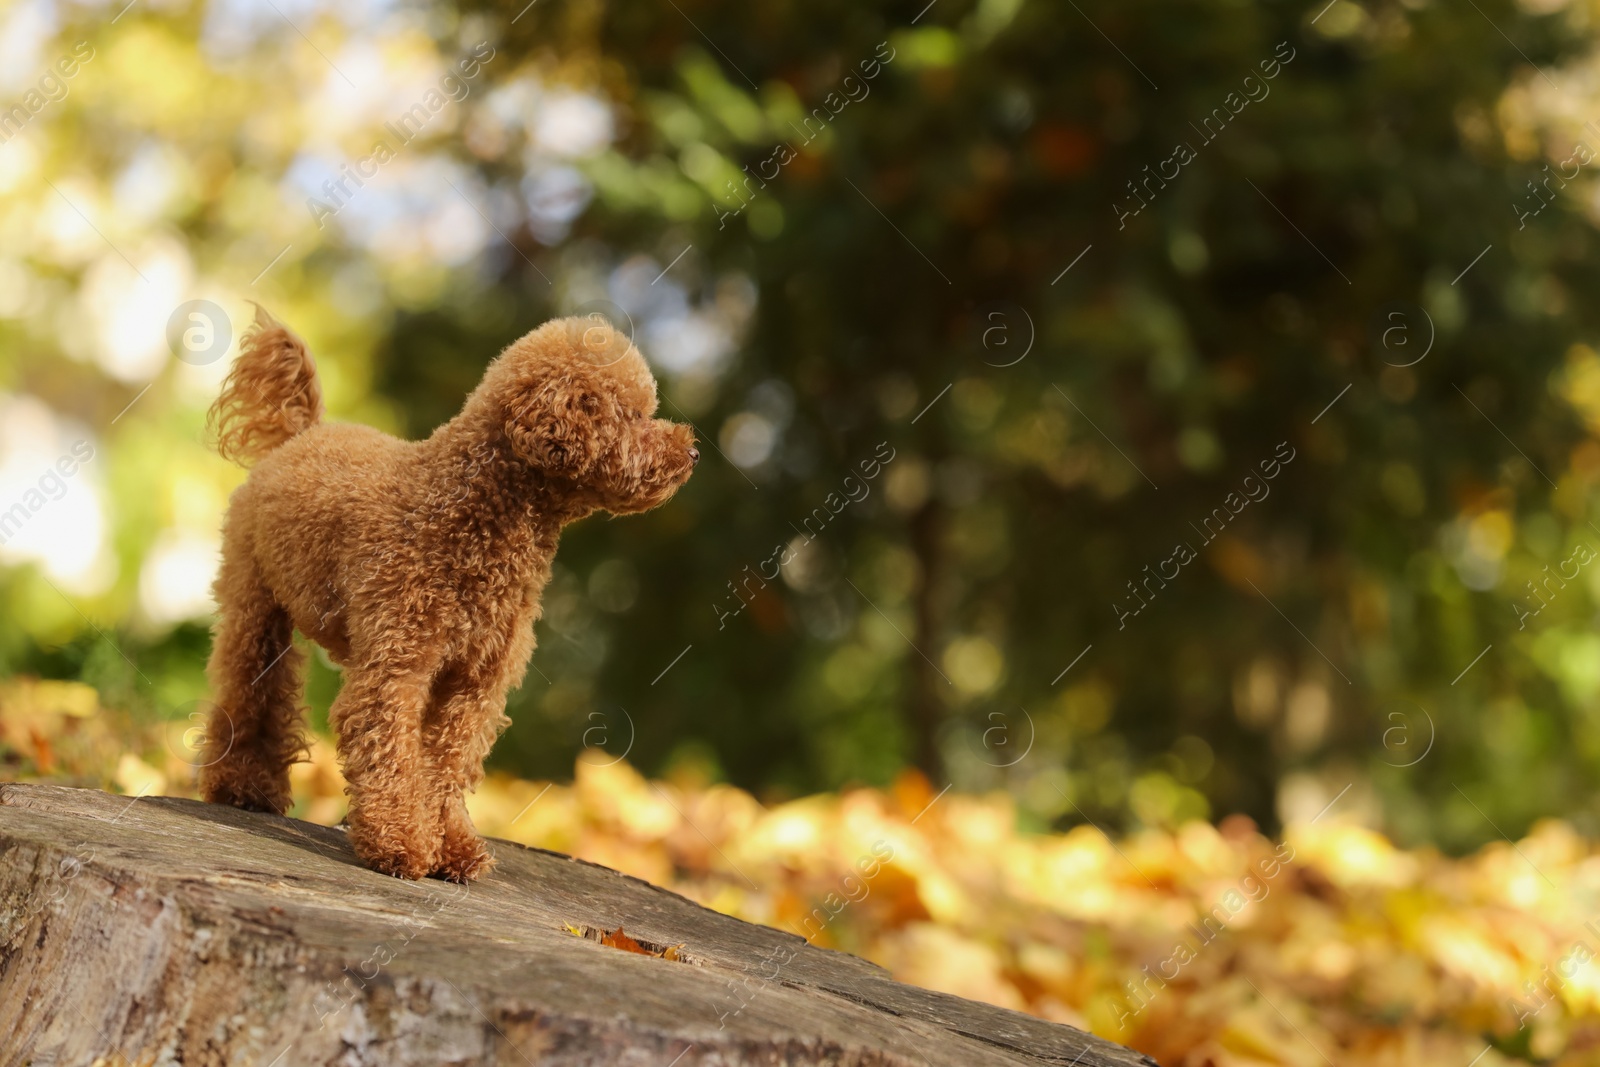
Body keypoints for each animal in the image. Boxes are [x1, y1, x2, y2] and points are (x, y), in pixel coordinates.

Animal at [196, 310, 697, 883]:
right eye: (633, 415)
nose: (692, 450)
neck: (469, 513)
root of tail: (305, 431)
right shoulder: (397, 667)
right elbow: (390, 751)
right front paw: (398, 846)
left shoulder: (474, 683)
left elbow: (445, 763)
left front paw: (451, 850)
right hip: (254, 603)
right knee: (248, 686)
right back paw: (240, 788)